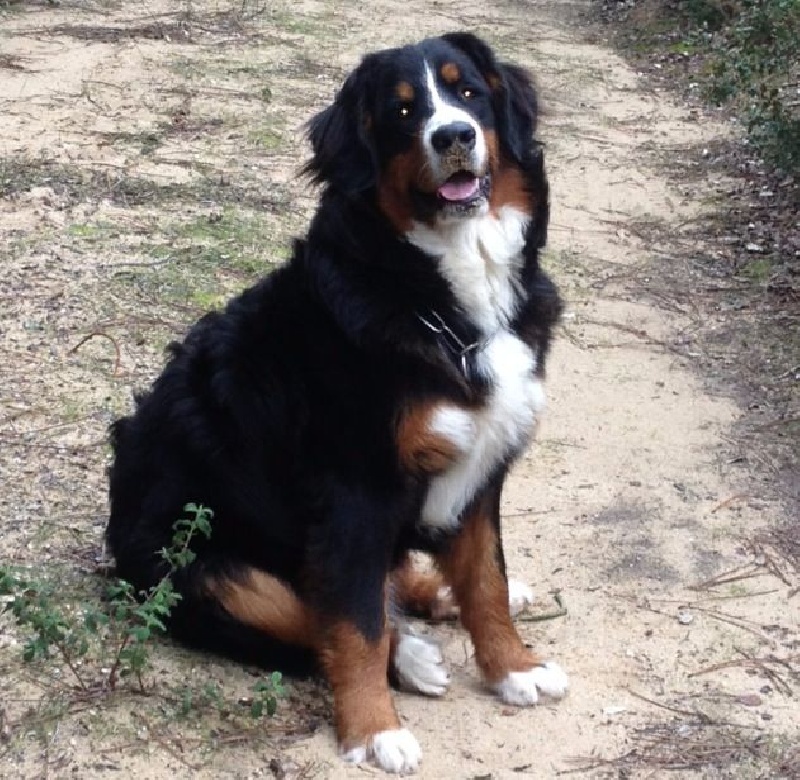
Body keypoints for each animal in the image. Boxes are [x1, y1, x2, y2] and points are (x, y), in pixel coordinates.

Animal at [108, 32, 568, 772]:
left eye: (467, 91)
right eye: (402, 112)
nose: (454, 135)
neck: (437, 294)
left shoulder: (481, 469)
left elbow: (486, 584)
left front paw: (514, 667)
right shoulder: (356, 490)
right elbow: (353, 624)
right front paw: (374, 730)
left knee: (395, 578)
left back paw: (435, 602)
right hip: (206, 569)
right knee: (319, 614)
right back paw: (411, 656)